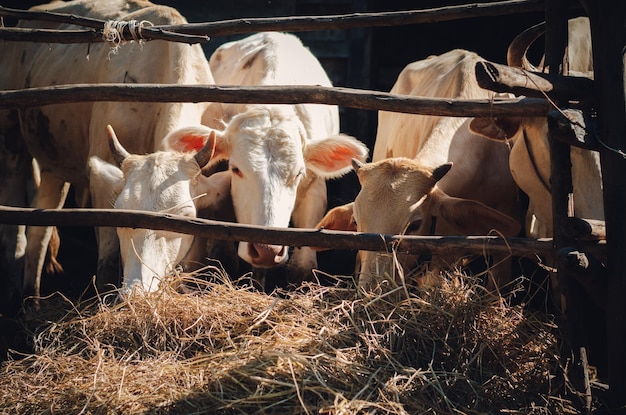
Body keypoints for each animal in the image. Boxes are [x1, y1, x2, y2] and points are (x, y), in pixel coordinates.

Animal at [0, 0, 219, 308]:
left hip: (55, 163)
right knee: (14, 225)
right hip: (11, 141)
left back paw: (32, 299)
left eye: (185, 215)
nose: (137, 293)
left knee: (40, 231)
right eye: (120, 212)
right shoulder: (101, 182)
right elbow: (107, 258)